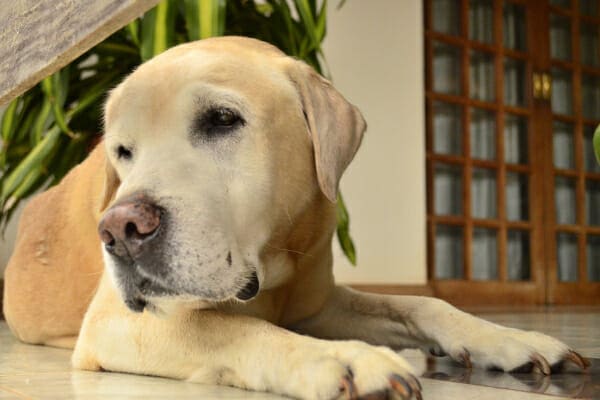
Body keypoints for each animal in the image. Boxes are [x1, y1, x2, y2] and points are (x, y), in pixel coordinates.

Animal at [2, 36, 588, 396]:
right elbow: (233, 329)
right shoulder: (118, 322)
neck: (276, 259)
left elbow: (420, 303)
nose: (121, 230)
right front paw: (344, 359)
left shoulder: (318, 302)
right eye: (123, 151)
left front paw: (511, 339)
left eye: (222, 120)